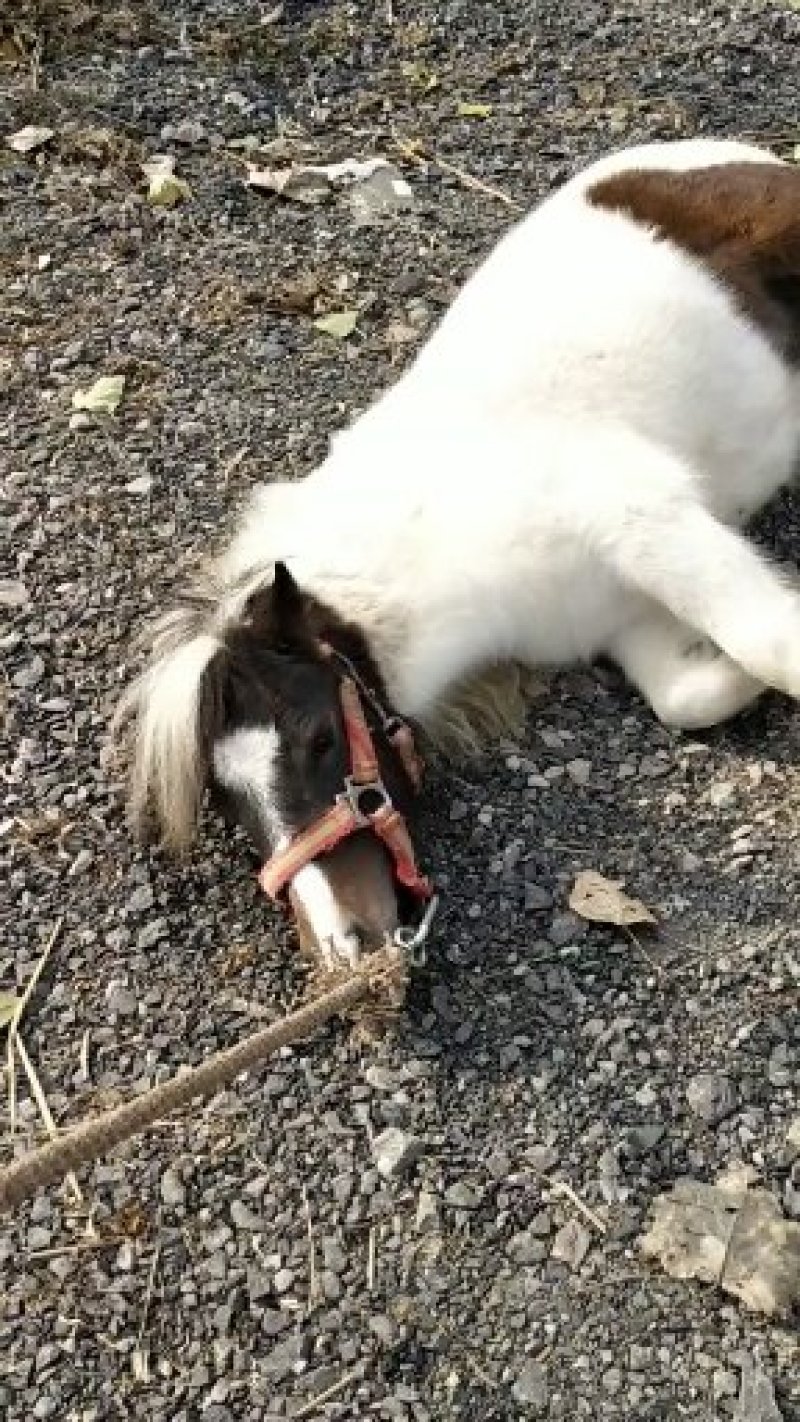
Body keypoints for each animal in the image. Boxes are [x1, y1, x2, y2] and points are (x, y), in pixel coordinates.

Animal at [114, 137, 800, 966]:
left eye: (319, 738)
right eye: (231, 800)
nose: (347, 944)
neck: (449, 520)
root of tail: (744, 156)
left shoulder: (646, 518)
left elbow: (772, 642)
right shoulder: (623, 618)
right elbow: (692, 694)